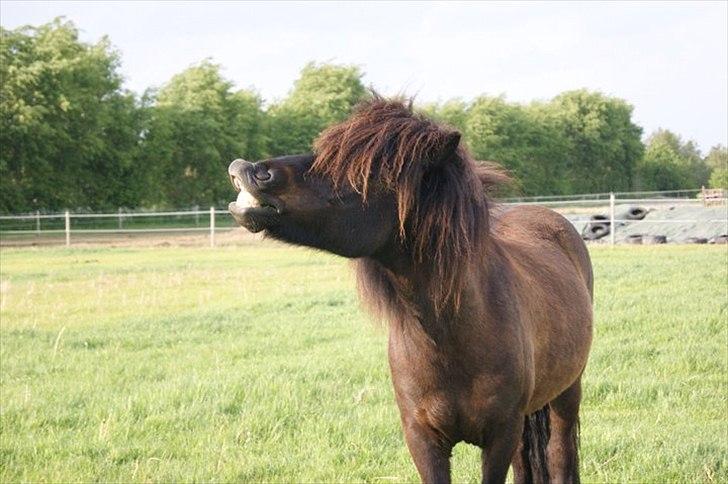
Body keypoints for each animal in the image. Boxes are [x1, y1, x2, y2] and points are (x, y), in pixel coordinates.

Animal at [230, 96, 596, 482]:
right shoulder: (423, 439)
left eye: (368, 170)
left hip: (567, 393)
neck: (451, 336)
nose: (250, 170)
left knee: (560, 454)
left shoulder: (499, 436)